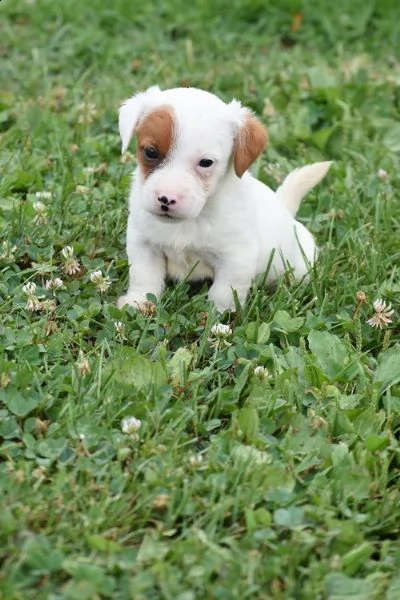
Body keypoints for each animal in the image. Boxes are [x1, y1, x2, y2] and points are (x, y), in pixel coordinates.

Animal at [118, 88, 332, 314]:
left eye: (206, 162)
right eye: (150, 152)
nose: (167, 198)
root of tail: (284, 206)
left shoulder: (237, 257)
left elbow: (224, 292)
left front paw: (216, 315)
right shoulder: (143, 244)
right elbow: (144, 276)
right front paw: (138, 302)